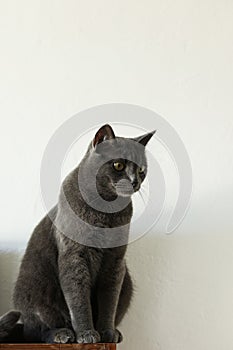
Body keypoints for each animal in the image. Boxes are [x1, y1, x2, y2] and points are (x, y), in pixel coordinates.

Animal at [1, 124, 156, 344]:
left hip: (127, 280)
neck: (106, 211)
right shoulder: (74, 256)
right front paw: (86, 333)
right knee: (35, 331)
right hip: (34, 286)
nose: (135, 181)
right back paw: (63, 334)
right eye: (118, 165)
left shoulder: (115, 260)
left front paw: (106, 332)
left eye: (141, 169)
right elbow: (78, 298)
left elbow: (109, 300)